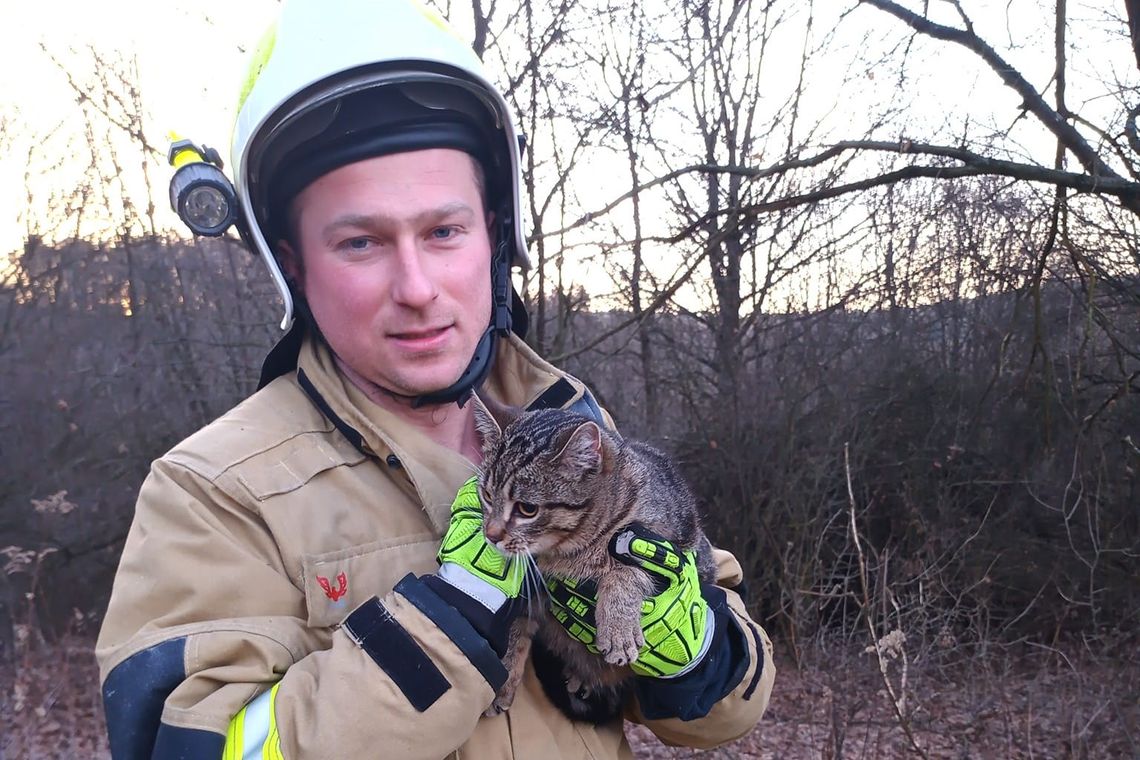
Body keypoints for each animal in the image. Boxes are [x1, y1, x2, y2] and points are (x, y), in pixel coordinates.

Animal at [471, 398, 711, 720]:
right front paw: (503, 680)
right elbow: (513, 634)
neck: (568, 552)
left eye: (527, 508)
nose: (491, 534)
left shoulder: (666, 543)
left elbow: (626, 571)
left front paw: (618, 627)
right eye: (486, 494)